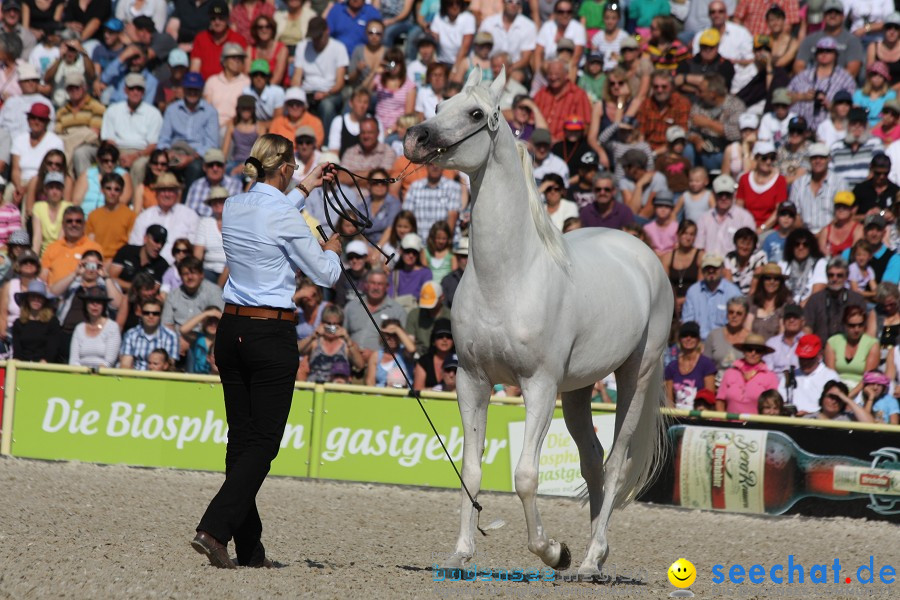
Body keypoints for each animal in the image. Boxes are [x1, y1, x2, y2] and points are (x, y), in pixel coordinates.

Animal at [404, 67, 672, 576]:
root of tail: (642, 253)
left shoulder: (539, 386)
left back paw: (589, 559)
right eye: (439, 104)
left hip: (636, 376)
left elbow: (527, 475)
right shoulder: (472, 381)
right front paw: (461, 551)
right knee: (592, 461)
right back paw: (593, 555)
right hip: (578, 391)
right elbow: (470, 470)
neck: (508, 278)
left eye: (475, 113)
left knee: (615, 463)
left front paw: (553, 551)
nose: (416, 137)